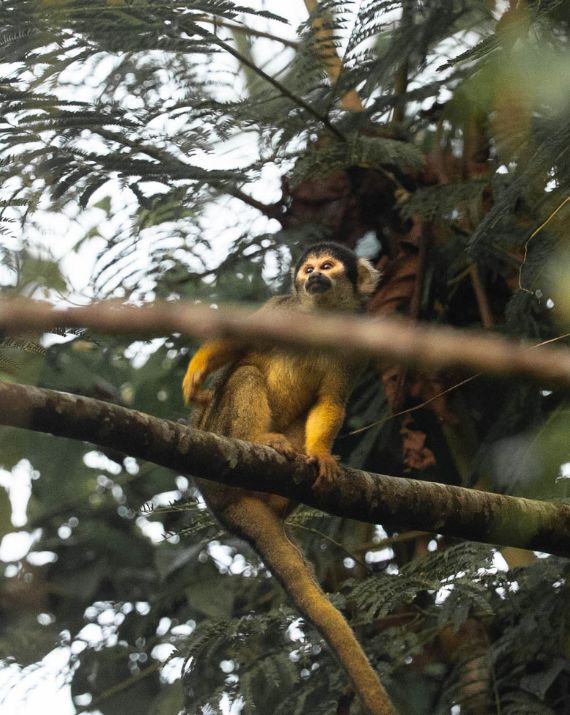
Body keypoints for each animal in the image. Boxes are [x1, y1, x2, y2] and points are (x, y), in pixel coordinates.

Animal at [182, 242, 396, 715]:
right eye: (308, 269)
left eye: (327, 267)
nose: (313, 276)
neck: (320, 318)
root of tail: (219, 506)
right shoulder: (282, 310)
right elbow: (239, 342)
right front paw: (195, 374)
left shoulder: (354, 347)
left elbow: (331, 401)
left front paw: (321, 455)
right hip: (215, 433)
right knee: (243, 375)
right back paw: (259, 439)